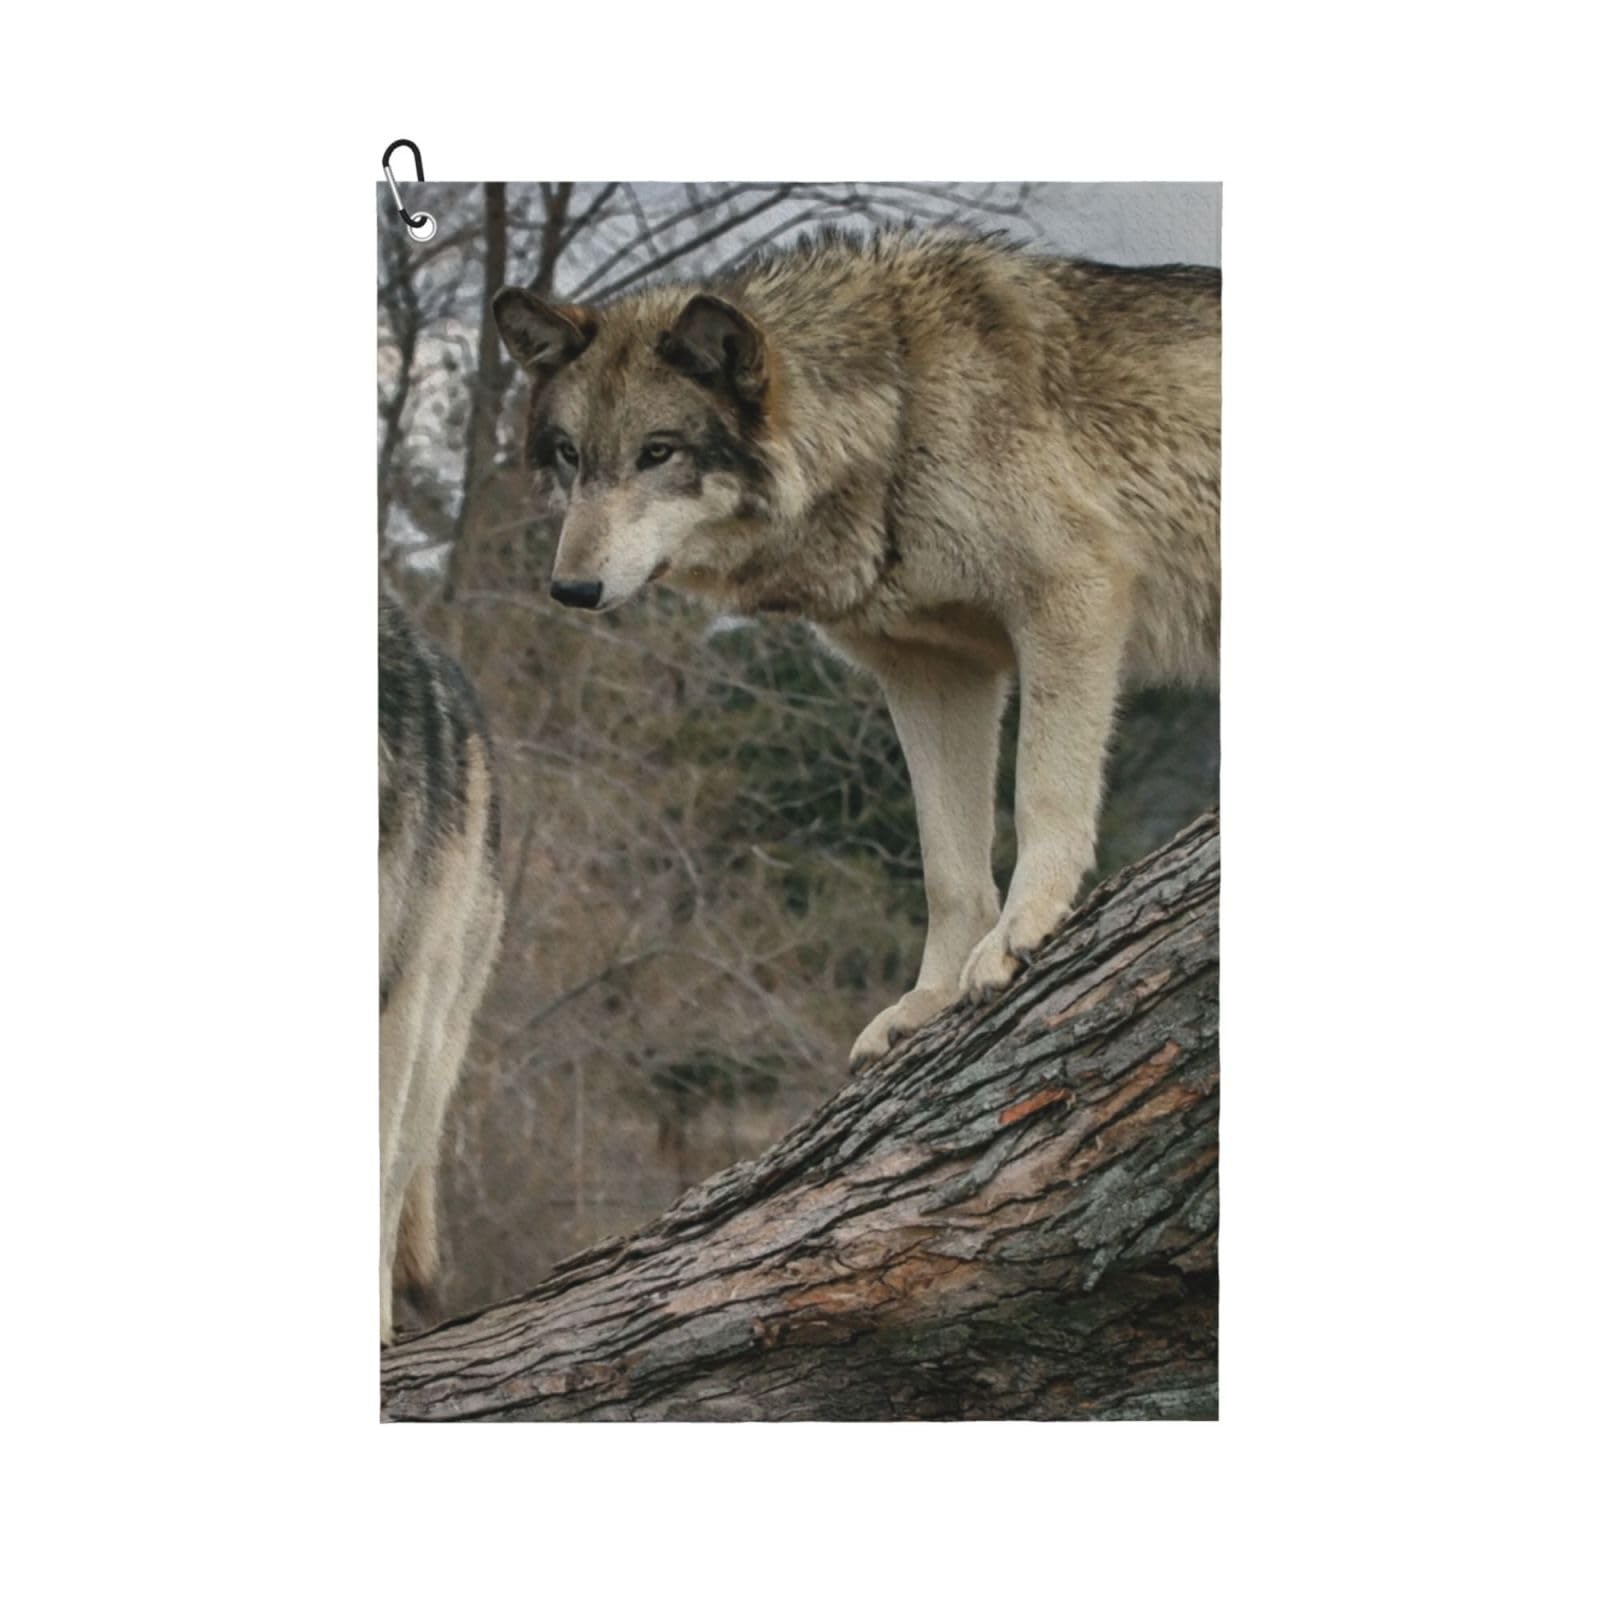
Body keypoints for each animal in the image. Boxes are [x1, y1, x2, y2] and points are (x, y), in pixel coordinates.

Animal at [493, 227, 1218, 1068]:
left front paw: (1020, 933)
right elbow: (947, 870)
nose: (569, 589)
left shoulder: (1071, 596)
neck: (900, 419)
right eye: (571, 455)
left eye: (658, 453)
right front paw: (928, 1002)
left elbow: (1042, 793)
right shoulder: (935, 675)